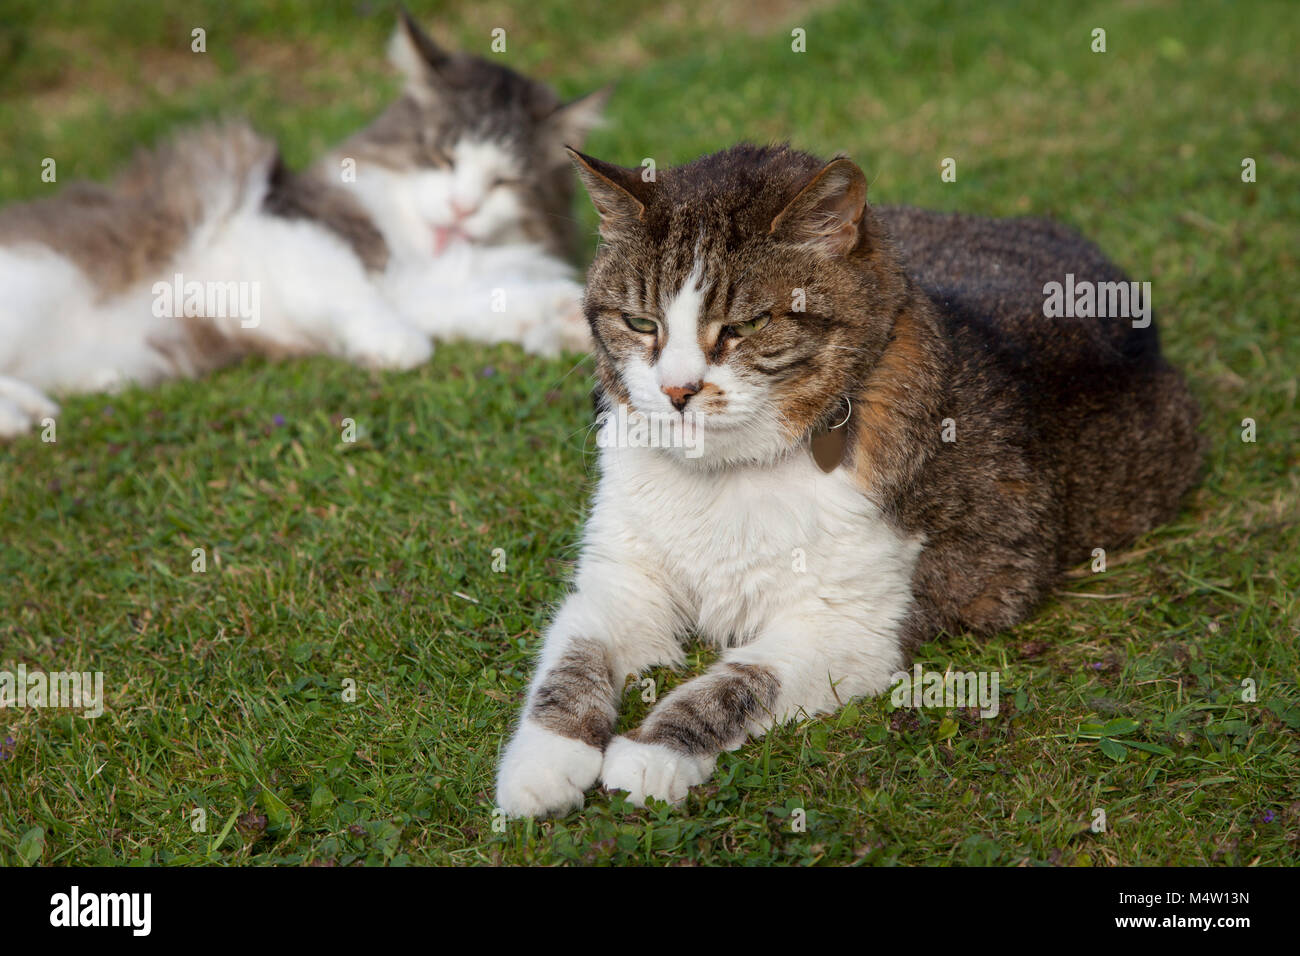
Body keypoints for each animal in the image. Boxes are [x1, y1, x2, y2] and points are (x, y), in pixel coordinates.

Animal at [0, 10, 598, 437]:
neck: (419, 252)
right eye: (442, 158)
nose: (462, 208)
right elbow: (353, 291)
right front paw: (395, 346)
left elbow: (507, 302)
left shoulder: (432, 288)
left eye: (504, 182)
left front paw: (569, 324)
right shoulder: (290, 224)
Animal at [493, 141, 1196, 816]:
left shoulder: (852, 626)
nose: (676, 391)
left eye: (746, 326)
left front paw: (653, 752)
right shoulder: (622, 580)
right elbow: (573, 659)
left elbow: (739, 683)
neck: (726, 473)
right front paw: (543, 764)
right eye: (641, 323)